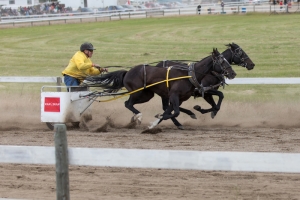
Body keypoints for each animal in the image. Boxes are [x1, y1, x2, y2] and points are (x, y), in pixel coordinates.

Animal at [84, 48, 237, 128]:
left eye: (227, 60)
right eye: (222, 61)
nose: (233, 73)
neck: (189, 75)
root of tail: (127, 72)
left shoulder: (180, 98)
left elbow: (171, 110)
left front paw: (157, 121)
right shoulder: (174, 95)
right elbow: (175, 112)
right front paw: (157, 119)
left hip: (148, 94)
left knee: (129, 103)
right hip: (139, 92)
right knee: (128, 103)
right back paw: (138, 117)